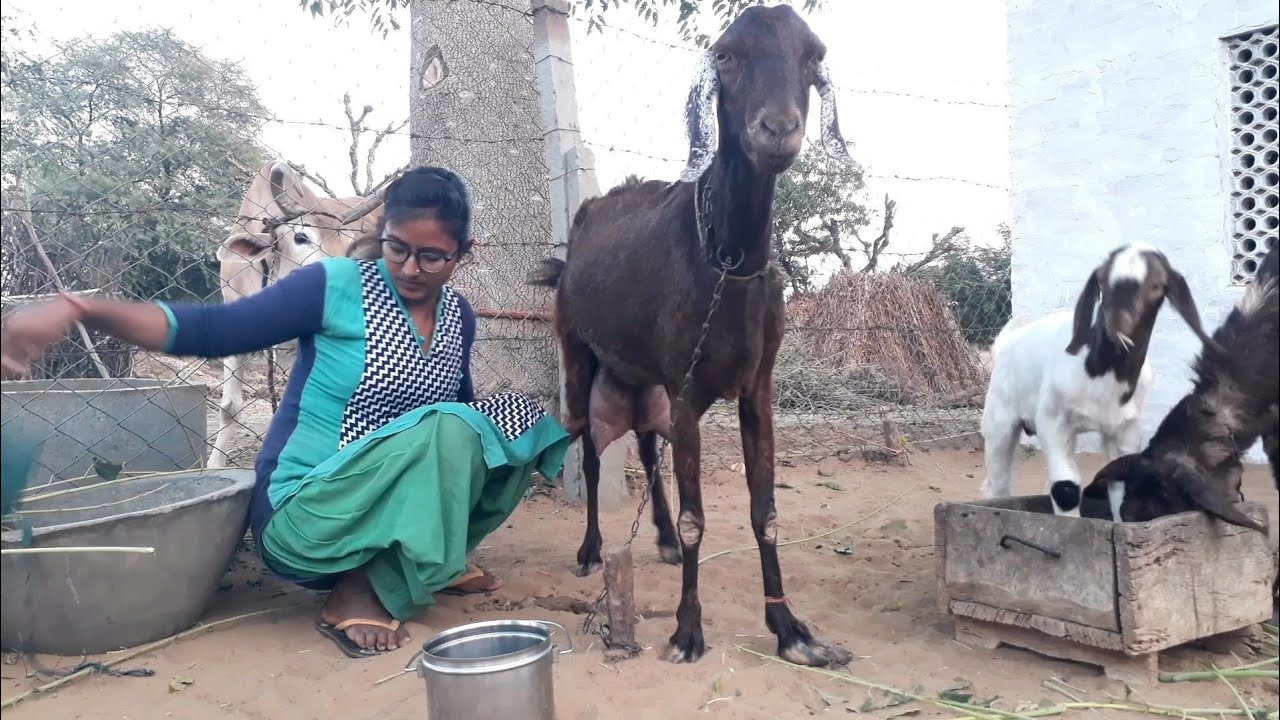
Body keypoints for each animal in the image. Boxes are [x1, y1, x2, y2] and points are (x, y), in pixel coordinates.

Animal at [530, 5, 853, 667]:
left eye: (813, 53)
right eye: (726, 55)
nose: (777, 130)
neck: (726, 262)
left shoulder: (756, 390)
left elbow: (765, 511)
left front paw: (789, 629)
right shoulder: (687, 392)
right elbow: (696, 516)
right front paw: (687, 630)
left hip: (643, 382)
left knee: (648, 448)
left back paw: (659, 540)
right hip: (579, 357)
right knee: (590, 453)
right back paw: (590, 550)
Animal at [980, 243, 1222, 520]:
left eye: (1157, 285)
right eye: (1102, 280)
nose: (1117, 324)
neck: (1098, 374)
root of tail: (1006, 342)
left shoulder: (1126, 427)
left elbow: (1120, 483)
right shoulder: (1052, 419)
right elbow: (1065, 488)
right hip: (1000, 419)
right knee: (998, 480)